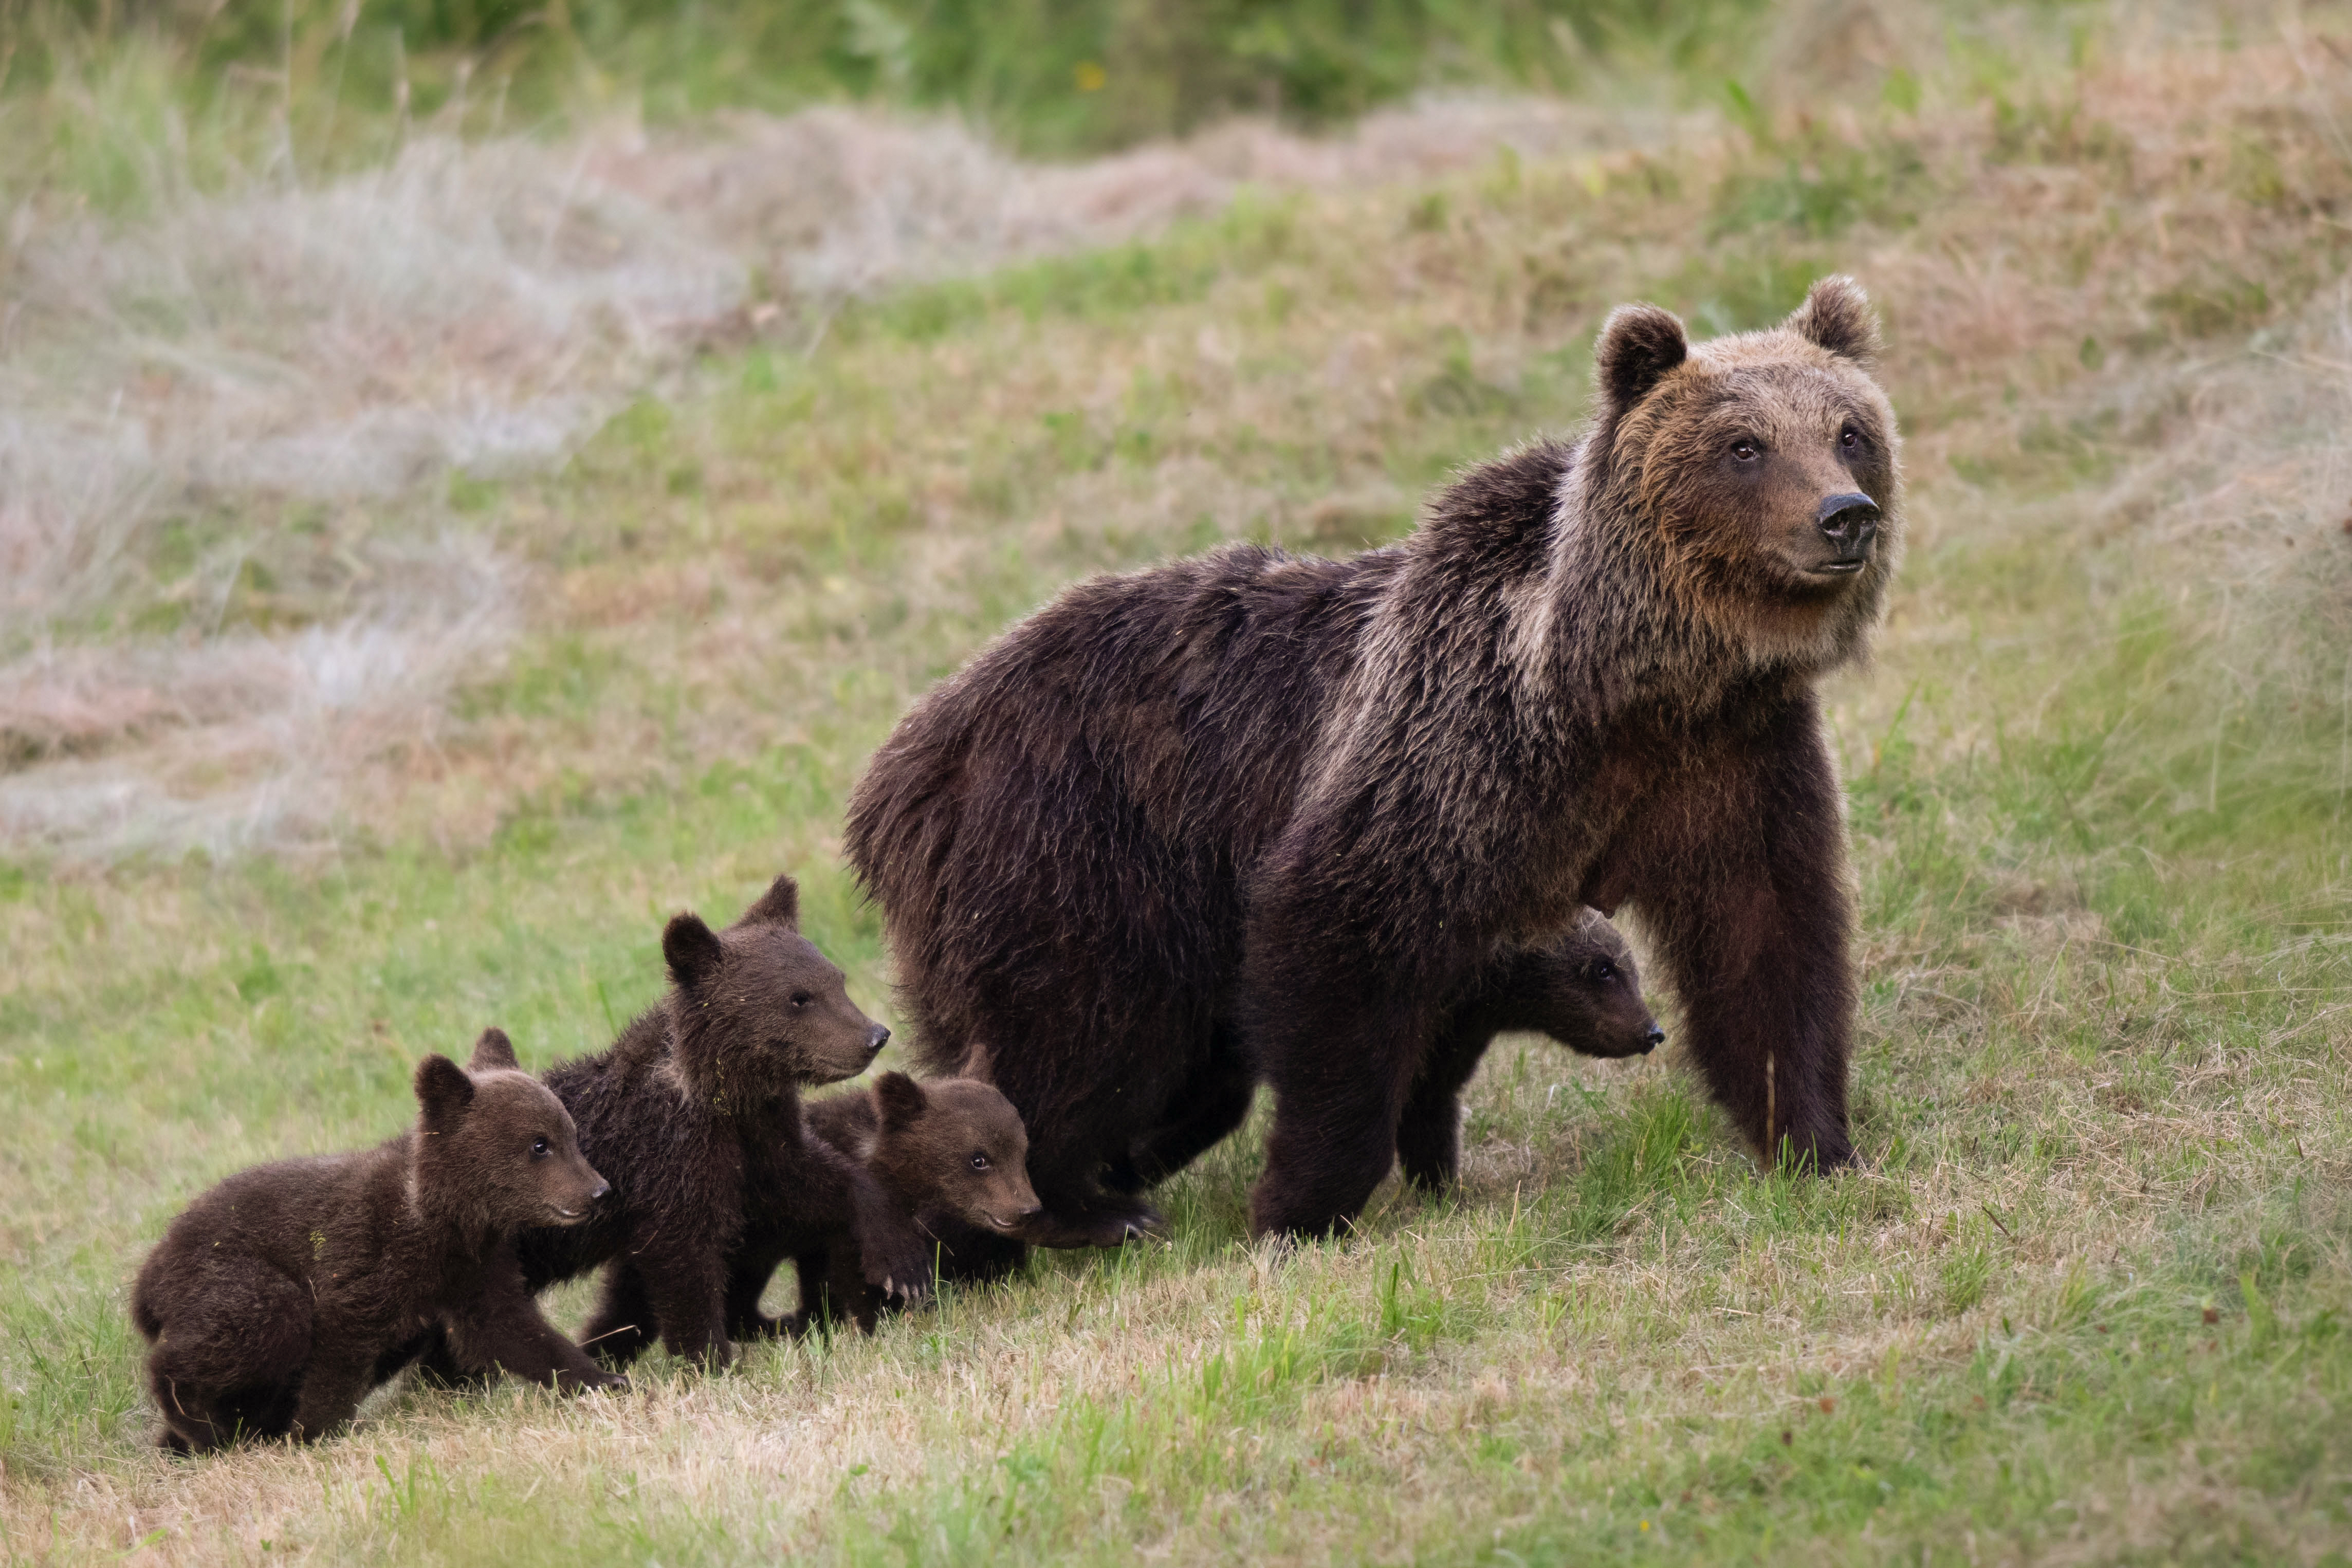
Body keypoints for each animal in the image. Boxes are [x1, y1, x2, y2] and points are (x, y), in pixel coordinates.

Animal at [132, 1029, 621, 1453]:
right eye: (539, 1145)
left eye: (572, 1135)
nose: (599, 1190)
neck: (443, 1219)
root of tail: (147, 1278)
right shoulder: (364, 1254)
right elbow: (339, 1349)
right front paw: (316, 1431)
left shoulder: (475, 1269)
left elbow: (513, 1329)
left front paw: (605, 1379)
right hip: (224, 1272)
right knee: (261, 1320)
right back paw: (201, 1425)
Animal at [509, 875, 935, 1369]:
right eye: (798, 997)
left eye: (837, 979)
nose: (875, 1036)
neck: (721, 1097)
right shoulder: (669, 1158)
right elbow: (686, 1262)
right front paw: (713, 1357)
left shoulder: (761, 1136)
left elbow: (817, 1178)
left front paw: (902, 1261)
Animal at [845, 276, 1898, 1241]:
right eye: (1744, 445)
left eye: (1849, 430)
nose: (1844, 515)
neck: (1622, 687)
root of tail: (902, 764)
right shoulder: (1448, 755)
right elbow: (1339, 951)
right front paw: (1300, 1205)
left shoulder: (1730, 762)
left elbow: (1769, 937)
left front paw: (1814, 1141)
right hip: (1079, 858)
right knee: (1075, 1038)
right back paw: (1087, 1204)